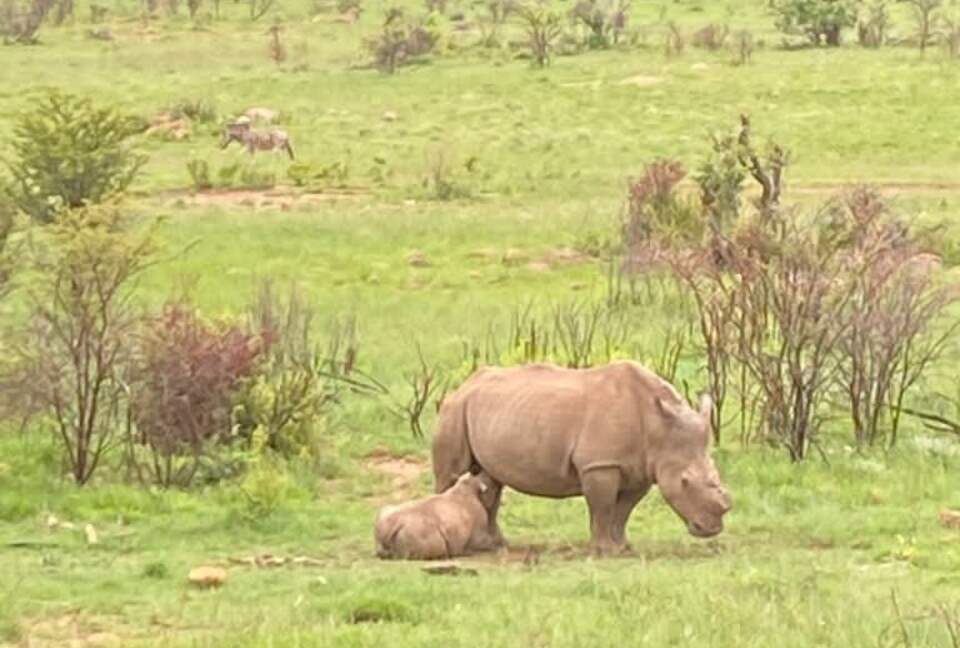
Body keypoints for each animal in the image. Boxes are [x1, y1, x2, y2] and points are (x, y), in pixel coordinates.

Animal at [431, 361, 732, 554]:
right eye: (685, 482)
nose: (711, 529)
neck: (658, 428)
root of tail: (464, 384)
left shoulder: (641, 468)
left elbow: (623, 510)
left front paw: (622, 547)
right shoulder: (599, 464)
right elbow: (603, 507)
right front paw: (605, 550)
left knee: (491, 481)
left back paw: (497, 545)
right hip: (455, 409)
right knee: (453, 474)